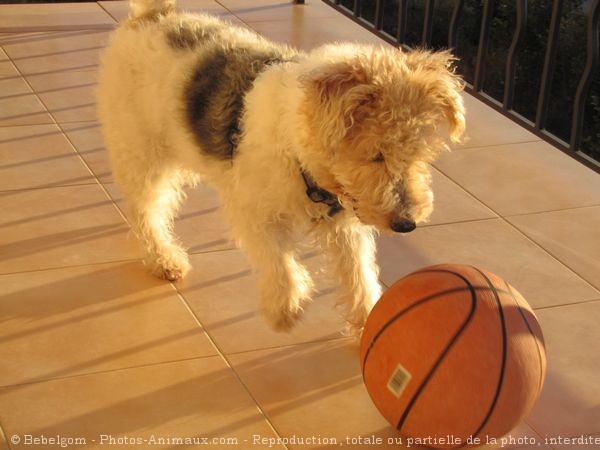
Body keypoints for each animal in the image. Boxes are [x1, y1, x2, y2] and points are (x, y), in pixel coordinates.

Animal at [97, 0, 464, 334]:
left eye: (419, 154)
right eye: (376, 155)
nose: (407, 224)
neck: (297, 146)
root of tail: (153, 15)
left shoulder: (343, 222)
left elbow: (358, 273)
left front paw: (367, 321)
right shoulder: (253, 210)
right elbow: (279, 262)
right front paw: (285, 309)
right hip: (141, 153)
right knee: (147, 210)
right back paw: (164, 258)